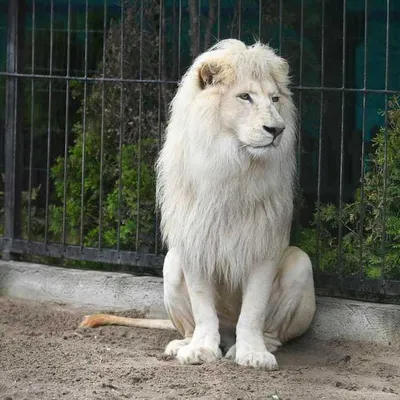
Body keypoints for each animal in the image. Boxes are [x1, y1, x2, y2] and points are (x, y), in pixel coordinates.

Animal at [80, 39, 316, 370]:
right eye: (245, 97)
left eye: (275, 98)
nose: (277, 129)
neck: (232, 165)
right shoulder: (194, 241)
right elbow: (203, 306)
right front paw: (201, 350)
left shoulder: (264, 243)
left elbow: (253, 308)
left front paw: (253, 354)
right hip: (171, 263)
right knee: (193, 325)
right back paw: (182, 345)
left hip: (299, 263)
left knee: (270, 331)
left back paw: (246, 347)